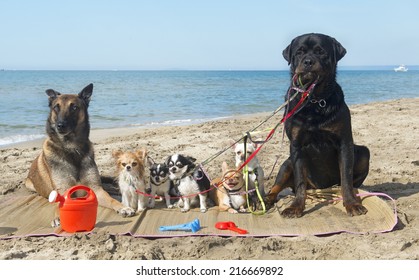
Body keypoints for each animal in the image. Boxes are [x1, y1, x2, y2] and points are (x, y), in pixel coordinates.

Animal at [26, 81, 135, 225]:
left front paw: (123, 207)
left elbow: (110, 199)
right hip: (29, 184)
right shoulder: (63, 190)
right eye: (56, 107)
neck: (71, 148)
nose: (60, 125)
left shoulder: (96, 189)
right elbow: (59, 203)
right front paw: (58, 216)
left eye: (74, 107)